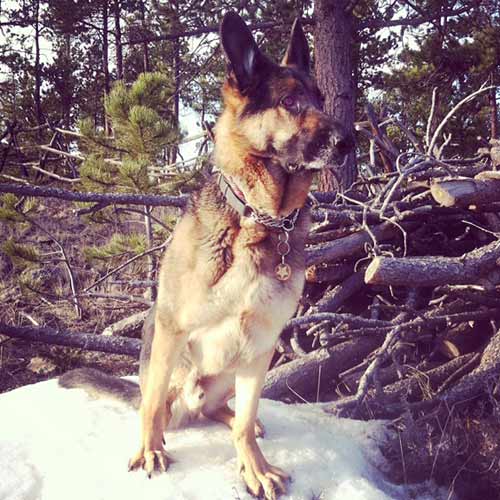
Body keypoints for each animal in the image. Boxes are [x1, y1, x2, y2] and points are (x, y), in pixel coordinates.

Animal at [59, 11, 352, 500]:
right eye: (290, 102)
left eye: (320, 99)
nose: (351, 139)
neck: (257, 219)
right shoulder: (171, 327)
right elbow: (150, 410)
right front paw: (149, 452)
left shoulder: (261, 345)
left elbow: (246, 423)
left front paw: (255, 468)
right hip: (167, 363)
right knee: (155, 406)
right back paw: (157, 436)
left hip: (229, 374)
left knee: (224, 413)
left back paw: (237, 424)